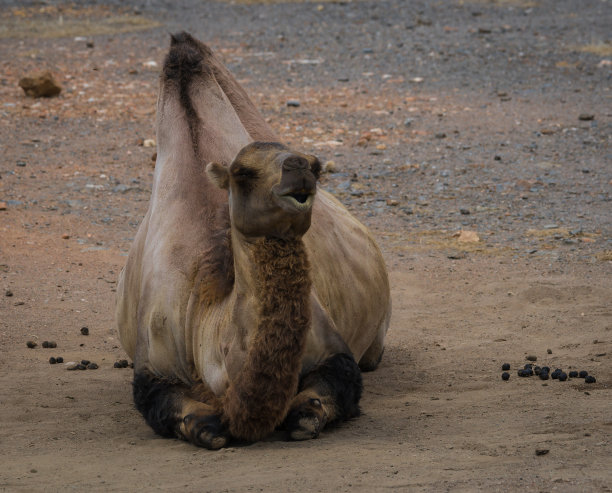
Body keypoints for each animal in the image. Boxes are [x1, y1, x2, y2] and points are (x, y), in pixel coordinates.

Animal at [116, 29, 392, 446]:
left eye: (316, 166)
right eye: (243, 173)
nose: (301, 168)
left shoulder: (331, 349)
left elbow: (329, 391)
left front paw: (303, 415)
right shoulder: (154, 358)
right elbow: (172, 408)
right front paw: (208, 426)